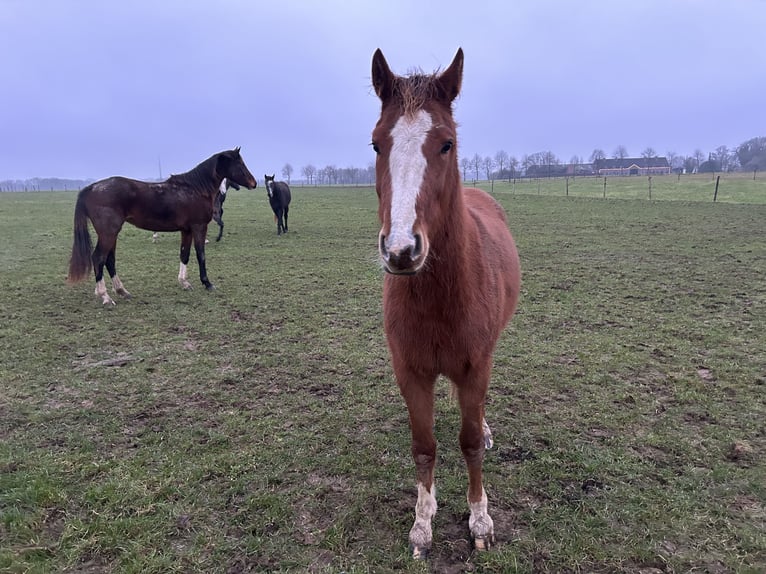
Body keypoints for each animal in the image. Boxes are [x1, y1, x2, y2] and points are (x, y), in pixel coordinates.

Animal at [67, 147, 258, 306]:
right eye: (239, 164)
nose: (254, 183)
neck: (196, 189)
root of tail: (91, 188)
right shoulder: (199, 227)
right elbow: (200, 255)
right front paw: (207, 283)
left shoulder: (186, 230)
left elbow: (184, 254)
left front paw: (184, 283)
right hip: (108, 233)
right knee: (98, 258)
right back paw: (105, 297)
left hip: (111, 234)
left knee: (109, 260)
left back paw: (122, 291)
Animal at [370, 47, 520, 560]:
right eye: (376, 145)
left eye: (447, 144)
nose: (401, 250)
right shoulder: (411, 371)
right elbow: (425, 446)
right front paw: (423, 523)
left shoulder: (475, 366)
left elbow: (469, 442)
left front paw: (480, 521)